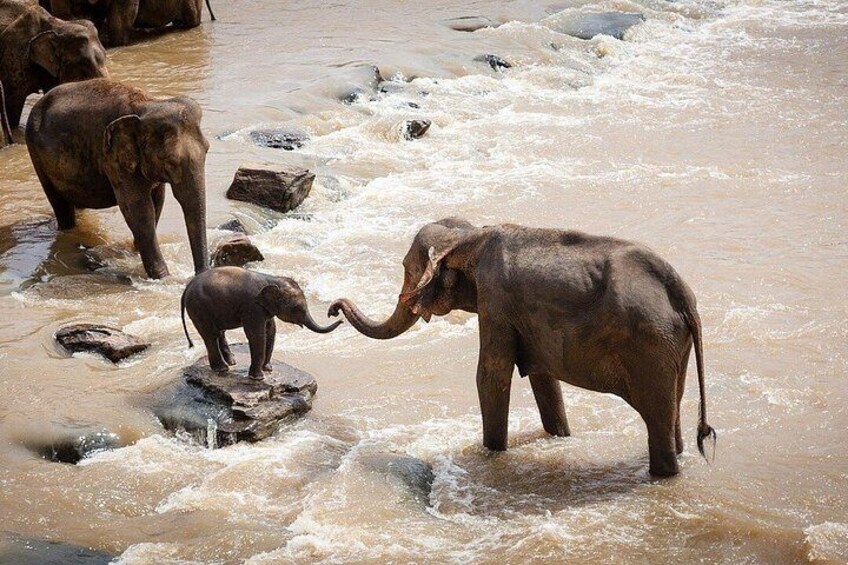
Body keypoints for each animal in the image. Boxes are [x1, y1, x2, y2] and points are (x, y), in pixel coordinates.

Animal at [25, 78, 209, 279]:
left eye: (207, 149)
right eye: (170, 161)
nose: (199, 274)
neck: (147, 104)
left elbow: (157, 202)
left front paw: (136, 253)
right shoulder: (113, 157)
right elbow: (138, 209)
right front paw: (162, 277)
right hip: (36, 156)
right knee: (60, 205)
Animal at [181, 266, 343, 380]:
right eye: (296, 308)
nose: (338, 316)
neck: (272, 279)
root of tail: (186, 288)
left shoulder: (265, 308)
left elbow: (271, 331)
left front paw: (268, 369)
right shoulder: (252, 307)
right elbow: (256, 335)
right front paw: (258, 378)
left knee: (218, 332)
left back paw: (231, 362)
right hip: (198, 308)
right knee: (210, 335)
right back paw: (222, 369)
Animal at [329, 218, 716, 477]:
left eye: (407, 269)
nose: (333, 309)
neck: (470, 236)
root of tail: (682, 294)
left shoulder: (496, 302)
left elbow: (490, 375)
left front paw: (491, 454)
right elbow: (544, 378)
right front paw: (560, 436)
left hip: (650, 345)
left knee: (657, 415)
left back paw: (662, 474)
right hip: (671, 347)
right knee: (672, 408)